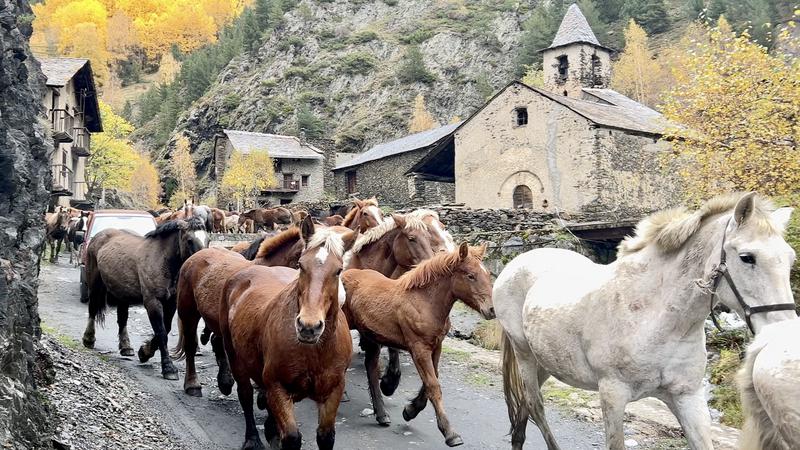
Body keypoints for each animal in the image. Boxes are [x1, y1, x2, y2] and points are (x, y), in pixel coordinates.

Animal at [82, 218, 209, 380]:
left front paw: (144, 352)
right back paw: (88, 339)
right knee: (92, 309)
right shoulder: (152, 302)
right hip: (95, 285)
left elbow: (165, 329)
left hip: (122, 293)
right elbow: (161, 333)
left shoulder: (170, 304)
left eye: (207, 239)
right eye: (189, 240)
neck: (161, 259)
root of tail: (99, 236)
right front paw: (168, 368)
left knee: (122, 318)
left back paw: (126, 347)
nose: (202, 264)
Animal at [219, 222, 356, 450]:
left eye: (338, 270)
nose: (309, 327)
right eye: (301, 265)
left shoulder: (333, 390)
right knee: (245, 394)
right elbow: (291, 437)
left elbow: (326, 436)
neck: (314, 350)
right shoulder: (277, 387)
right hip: (235, 356)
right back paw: (252, 439)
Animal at [342, 243, 494, 446]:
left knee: (372, 368)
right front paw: (450, 433)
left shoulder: (436, 346)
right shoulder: (419, 348)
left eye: (488, 274)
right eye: (470, 275)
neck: (424, 302)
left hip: (371, 335)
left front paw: (410, 410)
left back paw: (382, 414)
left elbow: (432, 379)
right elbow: (433, 385)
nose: (491, 310)